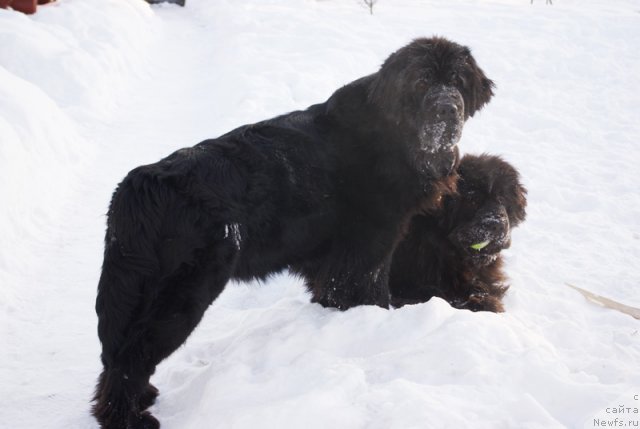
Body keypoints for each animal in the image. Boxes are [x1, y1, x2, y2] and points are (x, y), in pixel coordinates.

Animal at [92, 37, 496, 428]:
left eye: (457, 82)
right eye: (423, 82)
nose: (448, 109)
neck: (400, 134)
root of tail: (140, 185)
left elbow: (330, 289)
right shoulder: (372, 243)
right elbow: (370, 290)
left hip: (137, 288)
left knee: (116, 356)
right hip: (181, 292)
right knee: (130, 358)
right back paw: (129, 418)